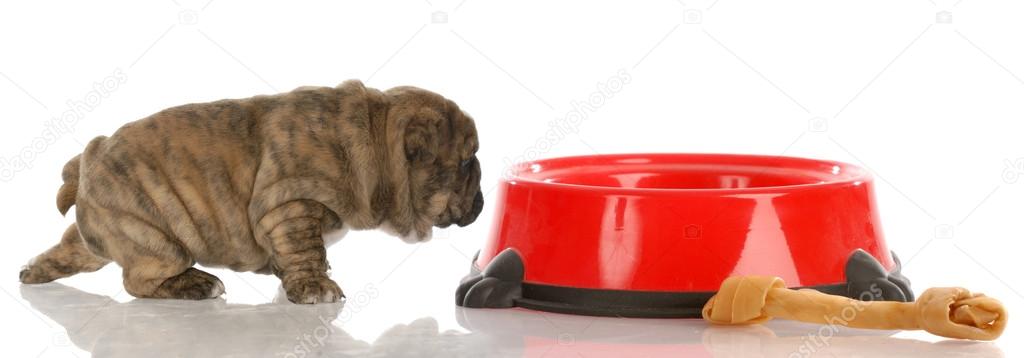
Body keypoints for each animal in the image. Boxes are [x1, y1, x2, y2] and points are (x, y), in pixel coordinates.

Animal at [18, 79, 483, 302]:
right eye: (465, 162)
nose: (480, 199)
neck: (371, 133)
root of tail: (89, 159)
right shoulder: (291, 207)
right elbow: (304, 249)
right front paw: (315, 287)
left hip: (107, 230)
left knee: (72, 249)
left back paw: (30, 272)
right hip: (154, 236)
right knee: (140, 279)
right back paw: (196, 285)